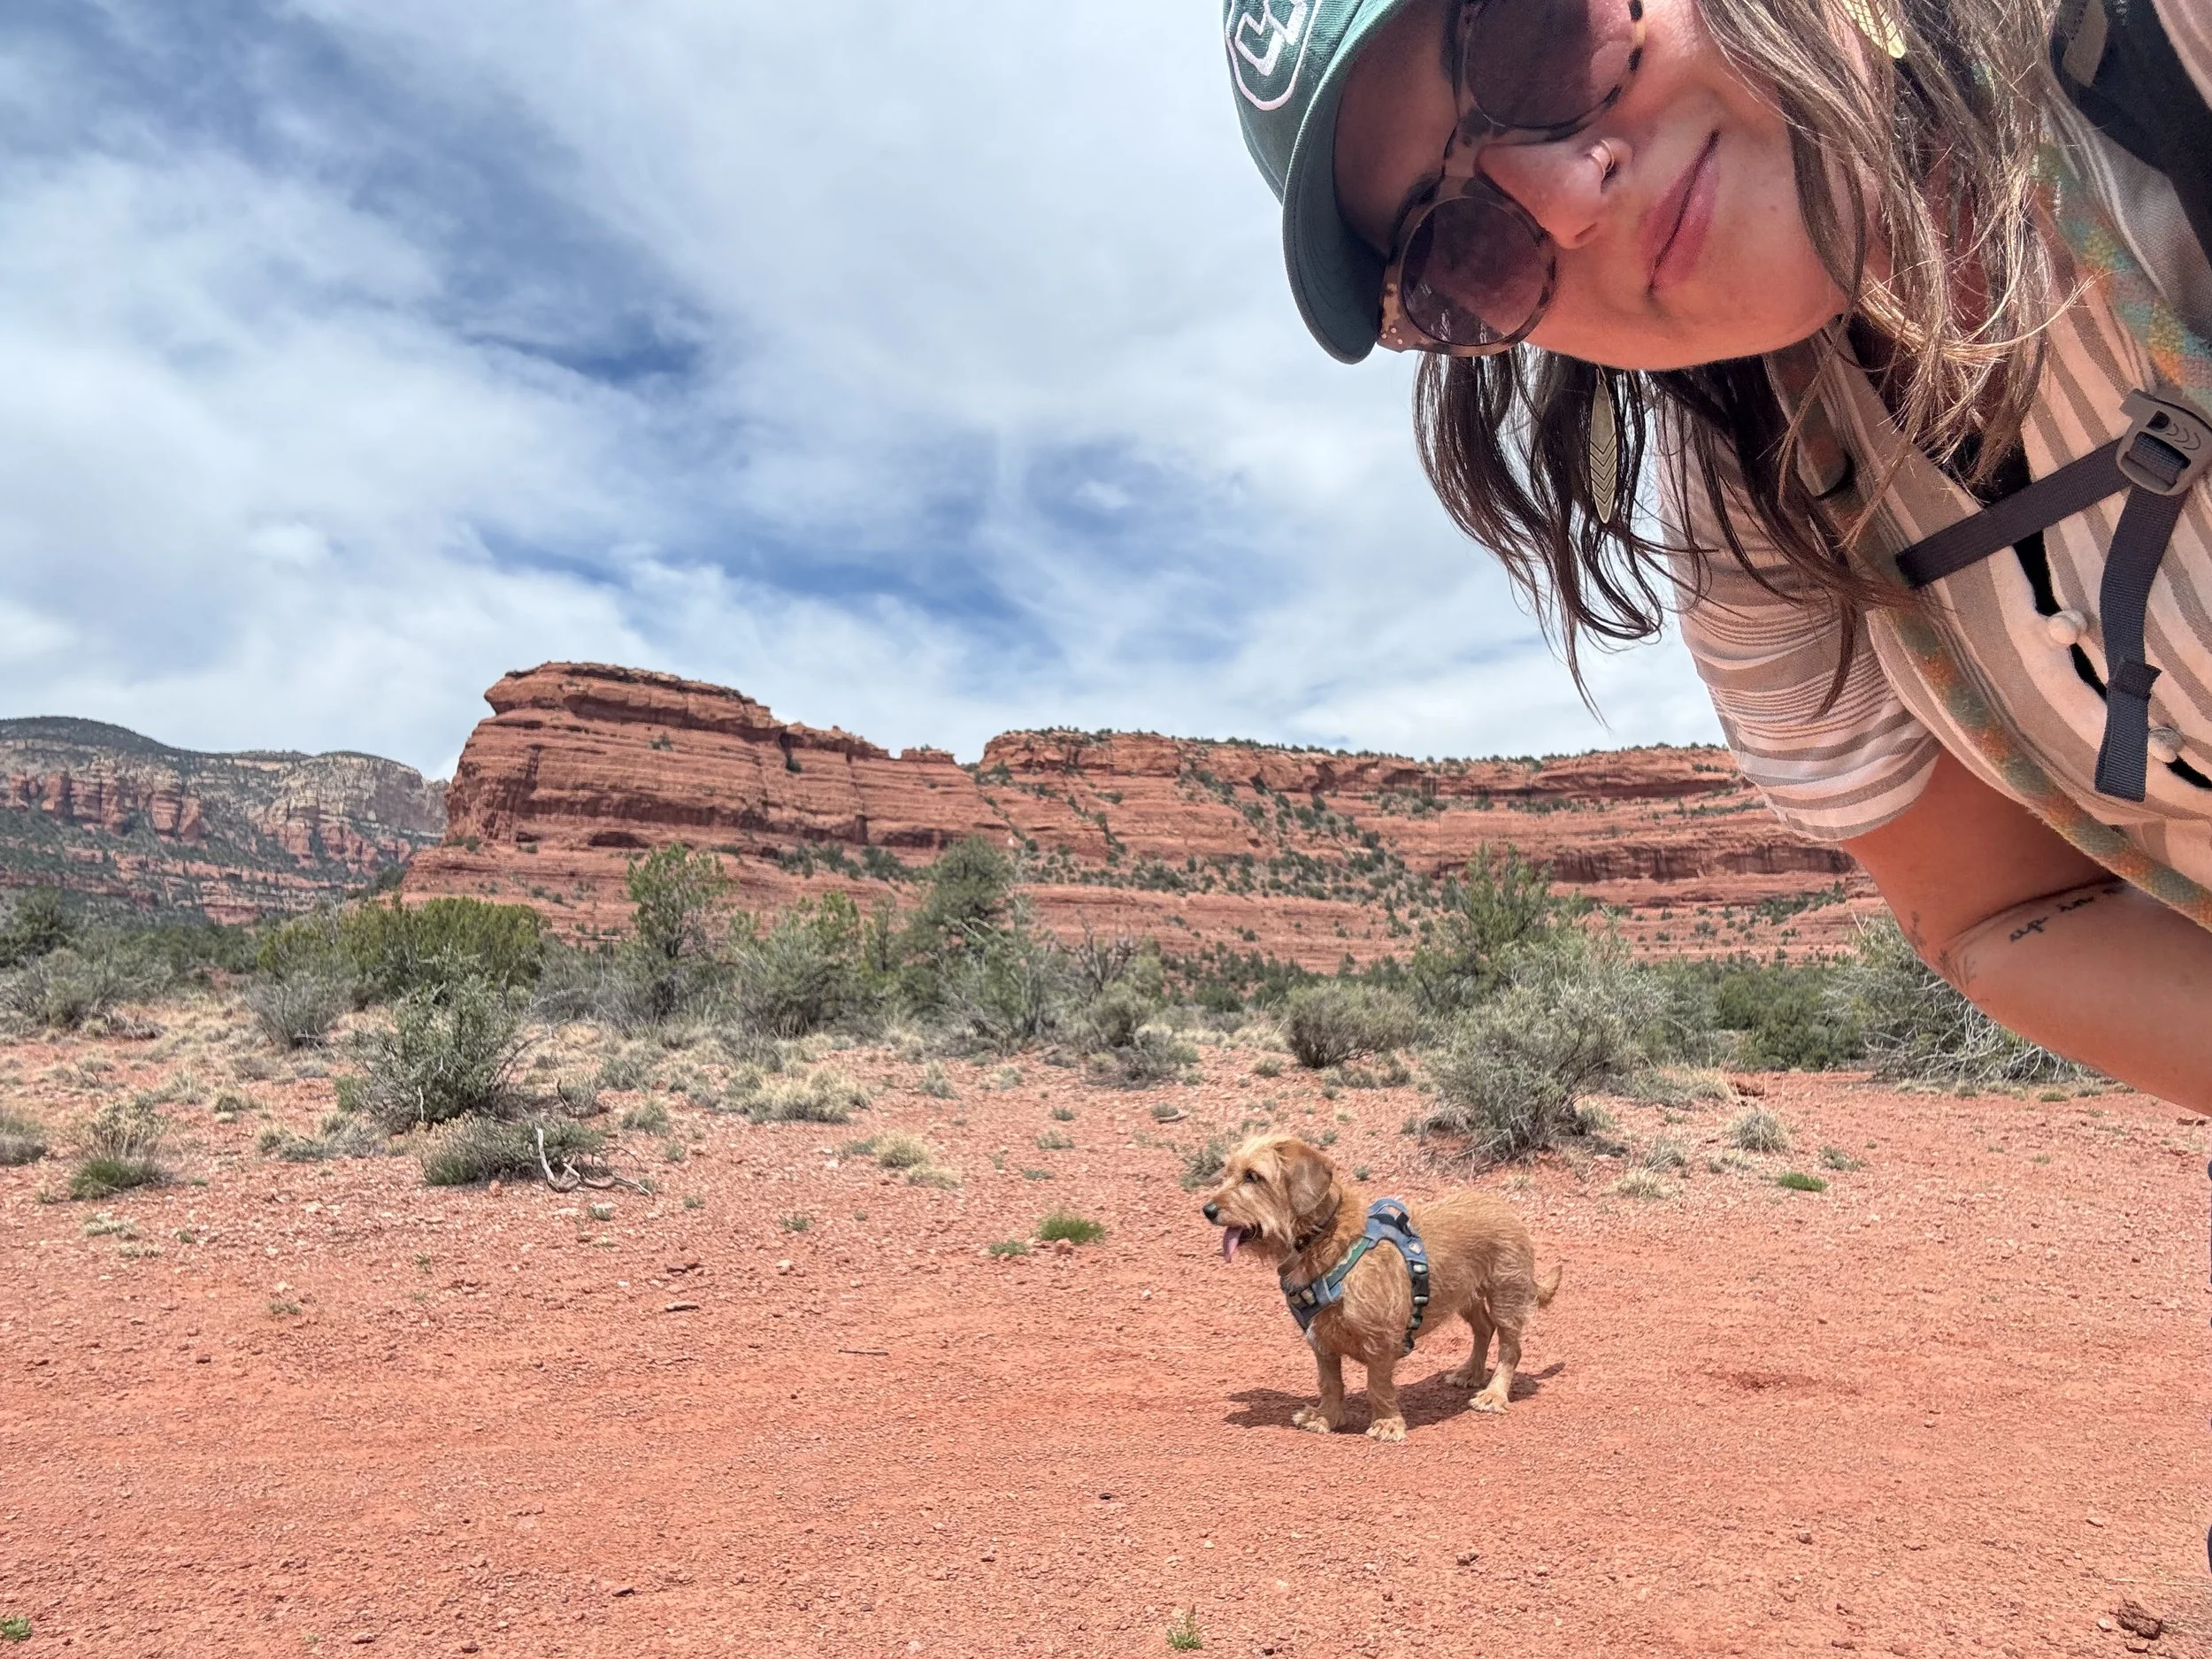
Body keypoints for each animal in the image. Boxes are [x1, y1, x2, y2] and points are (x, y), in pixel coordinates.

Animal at [1201, 1134, 1560, 1441]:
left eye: (1253, 1177)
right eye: (1228, 1172)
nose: (1208, 1210)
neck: (1329, 1243)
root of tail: (1505, 1208)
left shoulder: (1381, 1339)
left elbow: (1377, 1383)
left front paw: (1387, 1423)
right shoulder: (1322, 1342)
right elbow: (1330, 1383)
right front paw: (1325, 1417)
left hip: (1505, 1294)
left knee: (1510, 1347)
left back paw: (1494, 1394)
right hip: (1464, 1295)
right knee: (1483, 1329)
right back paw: (1470, 1372)